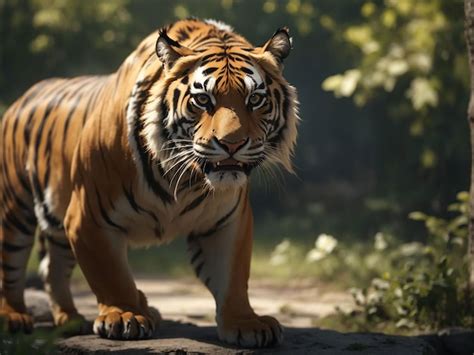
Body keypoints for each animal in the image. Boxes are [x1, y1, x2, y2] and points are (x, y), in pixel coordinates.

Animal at [0, 18, 298, 348]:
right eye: (202, 99)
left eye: (254, 99)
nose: (231, 144)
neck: (186, 179)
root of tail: (23, 97)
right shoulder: (87, 217)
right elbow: (111, 275)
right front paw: (124, 315)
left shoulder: (227, 222)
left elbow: (232, 275)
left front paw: (245, 323)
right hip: (15, 211)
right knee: (10, 267)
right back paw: (13, 317)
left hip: (56, 223)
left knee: (52, 268)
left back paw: (72, 320)